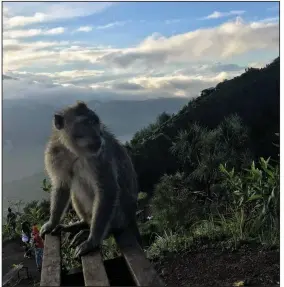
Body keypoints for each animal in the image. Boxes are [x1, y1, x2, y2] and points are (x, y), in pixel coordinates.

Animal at [39, 101, 142, 258]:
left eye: (96, 122)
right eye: (86, 123)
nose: (99, 134)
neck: (74, 152)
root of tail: (131, 217)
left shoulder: (100, 157)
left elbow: (108, 189)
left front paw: (92, 241)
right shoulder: (54, 154)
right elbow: (62, 186)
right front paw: (52, 222)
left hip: (120, 217)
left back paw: (100, 232)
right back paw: (81, 224)